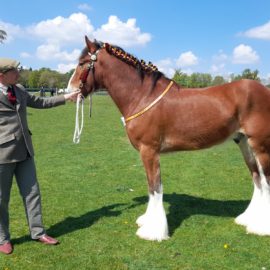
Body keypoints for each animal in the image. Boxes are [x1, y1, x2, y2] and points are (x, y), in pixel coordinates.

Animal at [67, 35, 270, 240]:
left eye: (82, 63)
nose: (69, 92)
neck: (142, 96)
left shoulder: (149, 150)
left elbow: (155, 187)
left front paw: (153, 231)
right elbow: (151, 187)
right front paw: (147, 221)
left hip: (260, 145)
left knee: (265, 180)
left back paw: (261, 227)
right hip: (244, 143)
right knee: (256, 178)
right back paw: (249, 219)